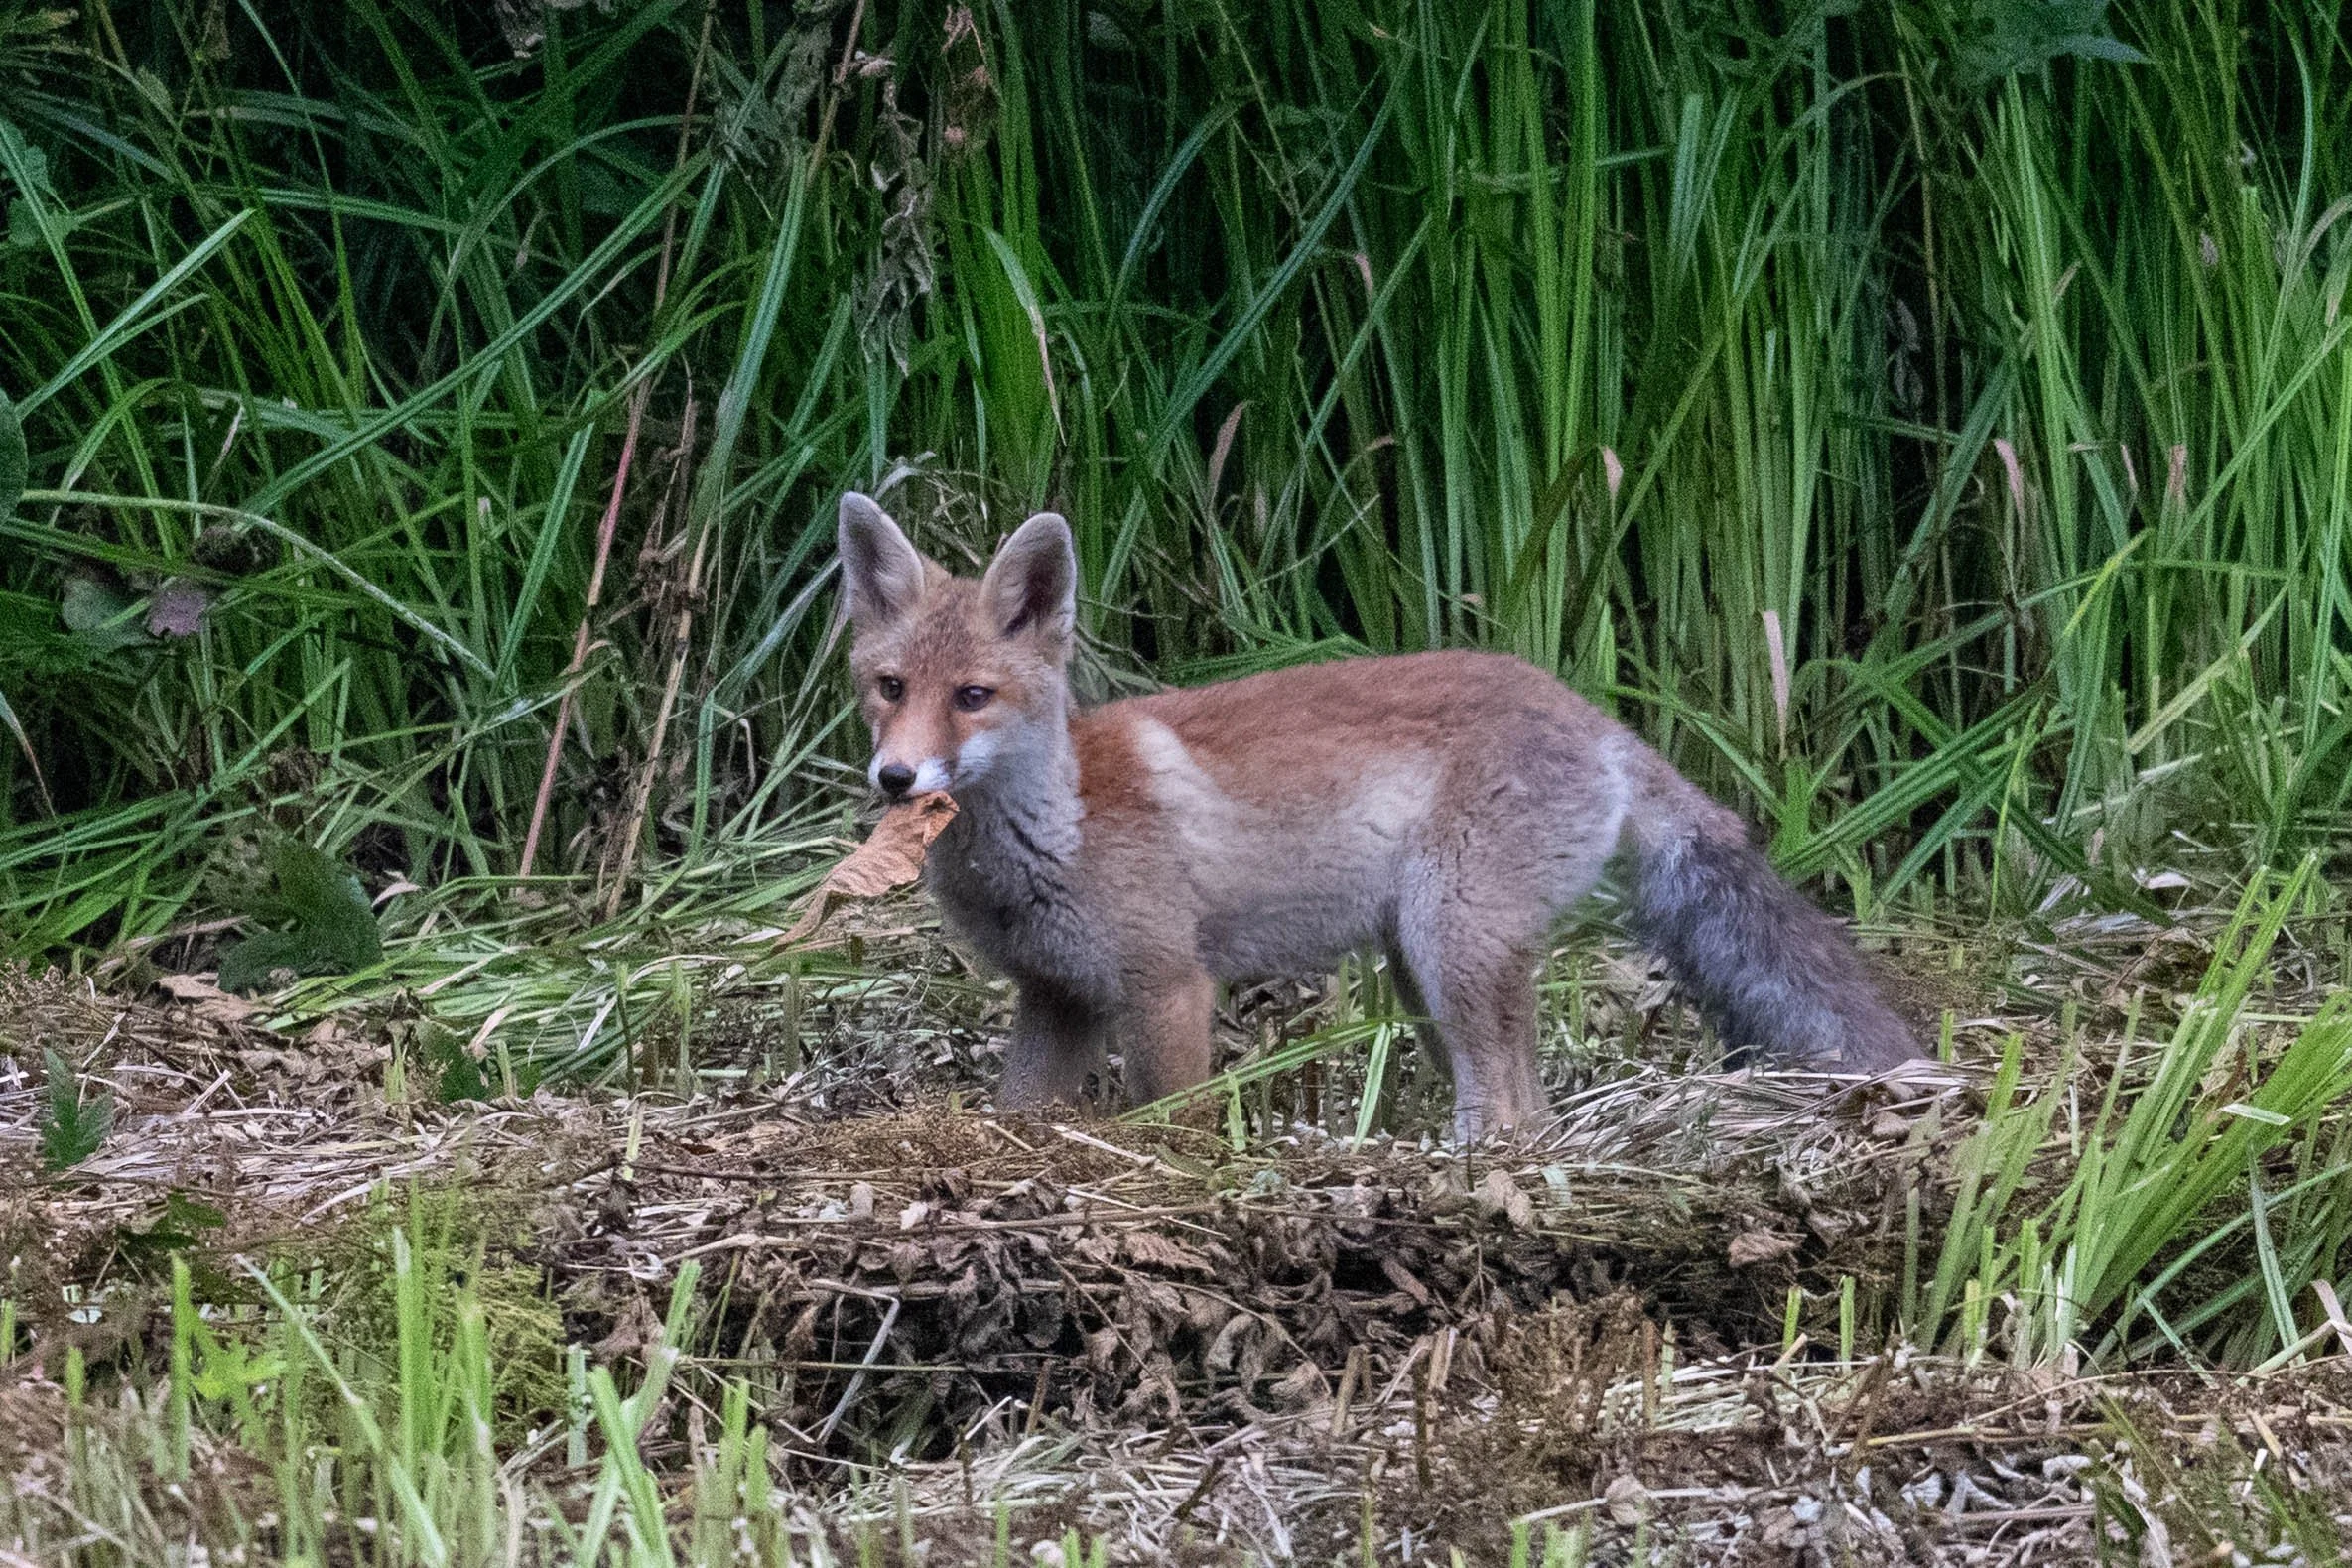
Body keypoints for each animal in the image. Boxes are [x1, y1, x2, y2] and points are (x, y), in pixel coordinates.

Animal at [835, 491, 1922, 1138]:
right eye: (890, 687)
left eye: (972, 697)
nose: (896, 777)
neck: (1056, 831)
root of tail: (1596, 719)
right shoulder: (1057, 998)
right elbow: (1017, 1112)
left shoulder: (1168, 985)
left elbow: (1179, 1128)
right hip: (1421, 968)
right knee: (1528, 1106)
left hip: (1453, 948)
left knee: (1514, 1107)